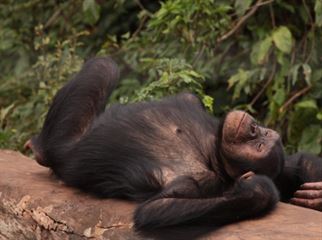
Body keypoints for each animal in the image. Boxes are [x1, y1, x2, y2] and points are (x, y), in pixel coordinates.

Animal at [25, 57, 322, 230]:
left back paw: (39, 148)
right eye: (262, 135)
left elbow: (156, 209)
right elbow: (295, 164)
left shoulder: (198, 180)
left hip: (64, 139)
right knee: (105, 66)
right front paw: (317, 193)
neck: (212, 150)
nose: (254, 129)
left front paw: (256, 189)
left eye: (259, 147)